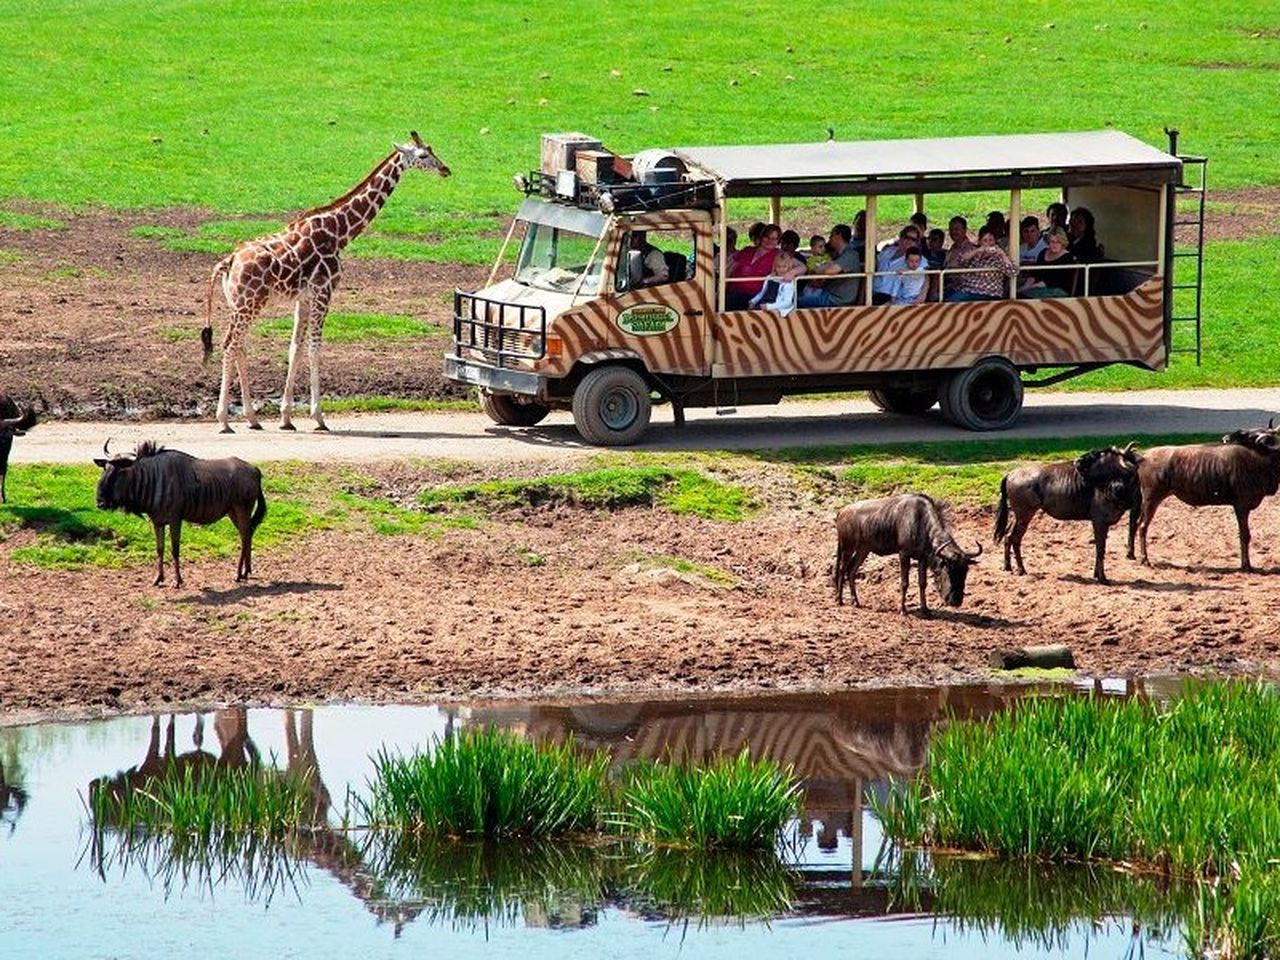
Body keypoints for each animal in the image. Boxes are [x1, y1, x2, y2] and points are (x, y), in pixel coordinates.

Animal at [202, 133, 453, 435]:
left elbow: (295, 349)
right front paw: (318, 417)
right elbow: (314, 349)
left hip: (243, 304)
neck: (339, 232)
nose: (446, 170)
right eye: (424, 155)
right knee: (230, 344)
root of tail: (228, 261)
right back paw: (224, 421)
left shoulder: (304, 297)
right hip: (249, 304)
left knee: (239, 346)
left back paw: (252, 418)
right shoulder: (325, 291)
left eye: (432, 150)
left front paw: (286, 418)